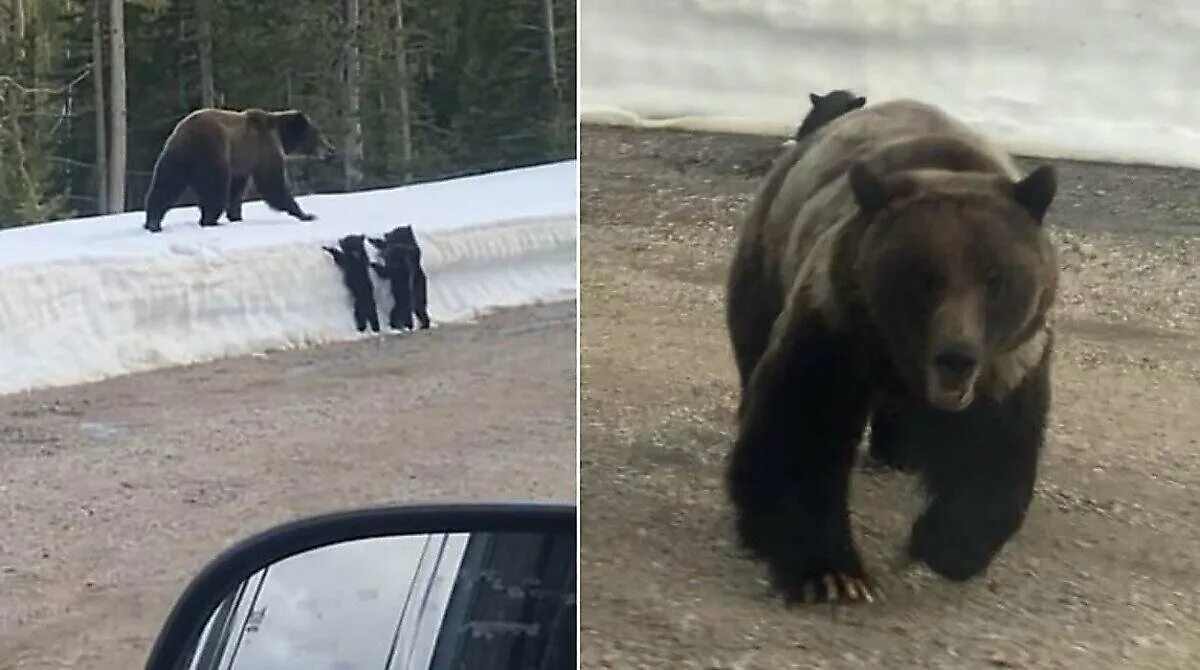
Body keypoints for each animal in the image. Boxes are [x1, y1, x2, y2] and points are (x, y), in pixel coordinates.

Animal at [142, 109, 336, 235]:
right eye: (317, 134)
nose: (331, 150)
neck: (280, 136)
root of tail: (185, 134)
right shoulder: (264, 150)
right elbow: (273, 183)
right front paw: (306, 214)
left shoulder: (243, 163)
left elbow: (238, 188)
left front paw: (236, 216)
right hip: (212, 153)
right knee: (215, 189)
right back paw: (210, 220)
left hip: (174, 159)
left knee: (164, 187)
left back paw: (153, 223)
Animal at [720, 98, 1060, 605]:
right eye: (926, 277)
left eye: (995, 279)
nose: (956, 358)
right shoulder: (836, 329)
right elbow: (800, 434)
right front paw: (834, 575)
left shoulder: (1010, 362)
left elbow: (993, 455)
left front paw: (945, 546)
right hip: (768, 255)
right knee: (753, 344)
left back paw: (901, 452)